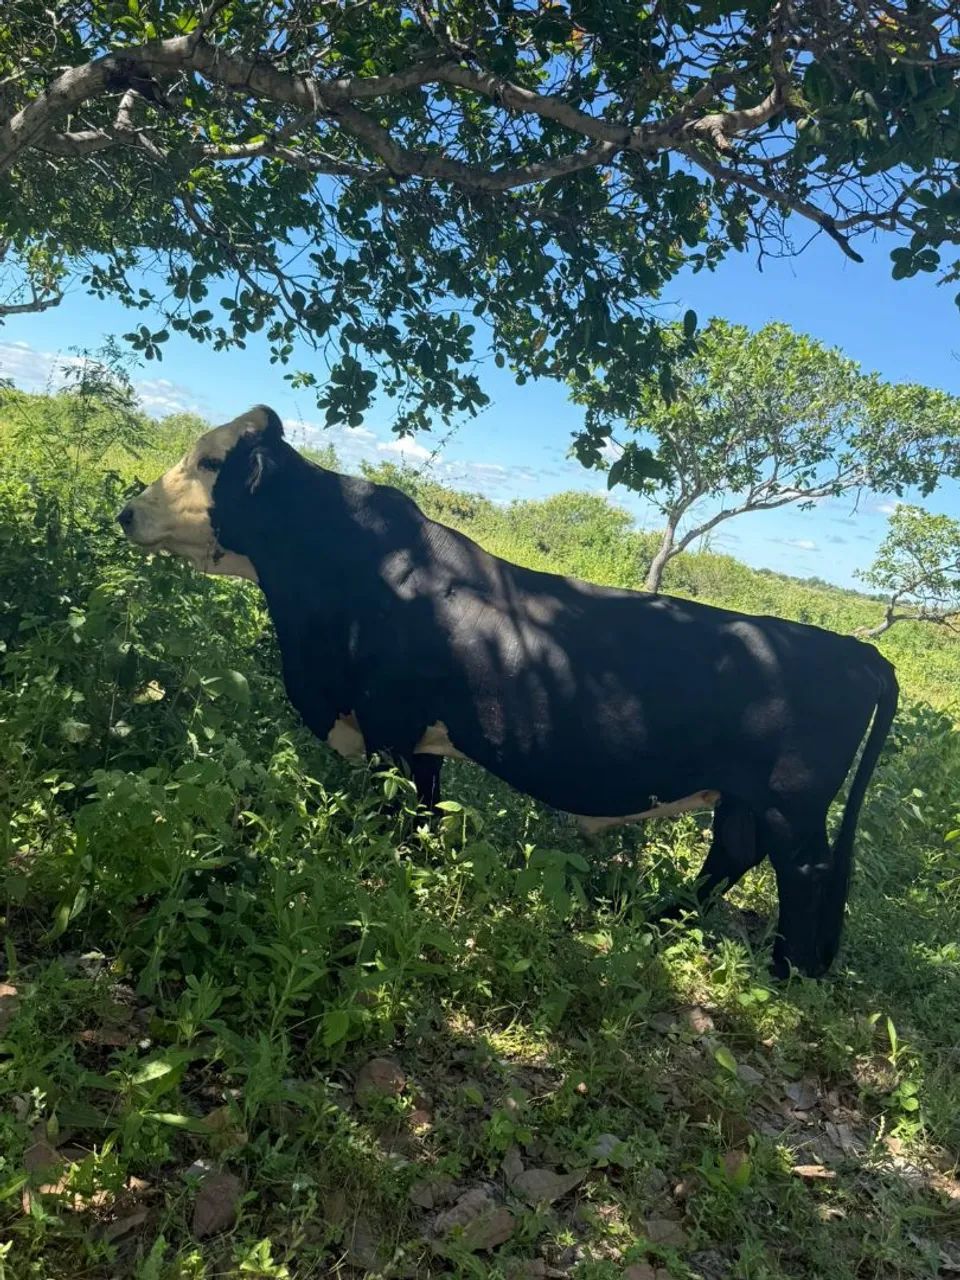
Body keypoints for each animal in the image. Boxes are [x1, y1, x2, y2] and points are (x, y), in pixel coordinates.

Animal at [118, 406, 899, 979]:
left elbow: (390, 813)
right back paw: (661, 918)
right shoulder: (420, 741)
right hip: (744, 797)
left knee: (801, 872)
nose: (128, 512)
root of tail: (856, 651)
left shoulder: (385, 725)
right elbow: (425, 814)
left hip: (791, 807)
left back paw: (787, 970)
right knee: (732, 855)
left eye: (210, 462)